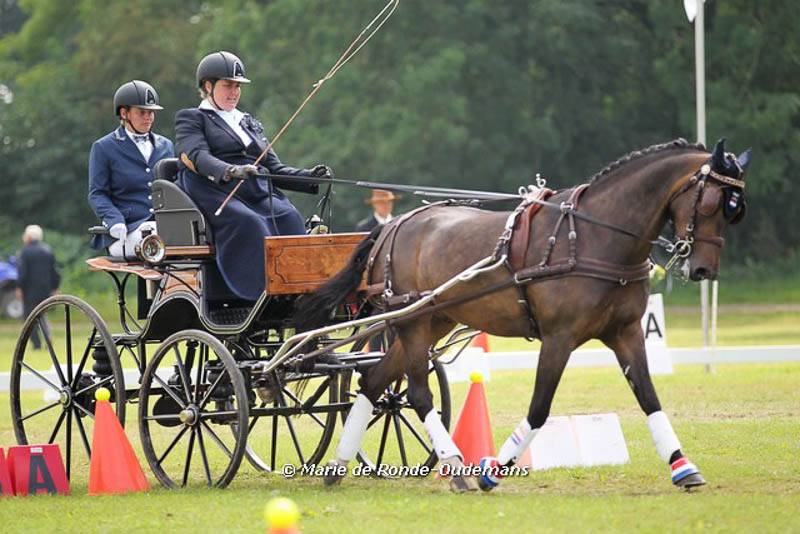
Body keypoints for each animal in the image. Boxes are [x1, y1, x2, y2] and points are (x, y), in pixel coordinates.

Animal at [294, 138, 752, 494]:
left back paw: (337, 466)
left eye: (734, 209)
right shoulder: (559, 337)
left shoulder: (626, 333)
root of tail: (393, 226)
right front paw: (492, 471)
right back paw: (456, 467)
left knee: (375, 384)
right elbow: (540, 407)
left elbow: (649, 397)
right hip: (411, 323)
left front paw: (683, 467)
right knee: (419, 395)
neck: (593, 236)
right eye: (713, 202)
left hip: (430, 322)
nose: (703, 270)